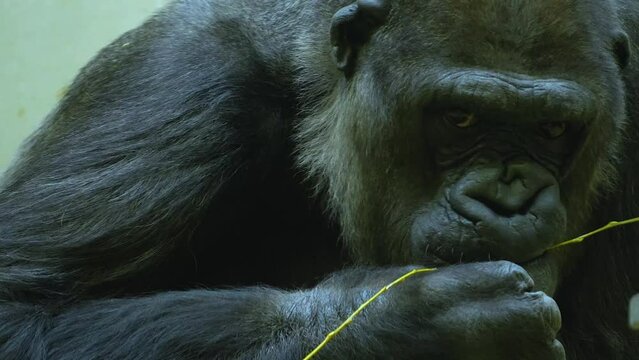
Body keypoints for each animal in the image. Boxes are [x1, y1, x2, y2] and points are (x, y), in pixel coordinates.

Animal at [1, 0, 639, 358]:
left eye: (553, 128)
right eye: (460, 117)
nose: (509, 198)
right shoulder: (180, 79)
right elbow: (19, 311)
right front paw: (406, 324)